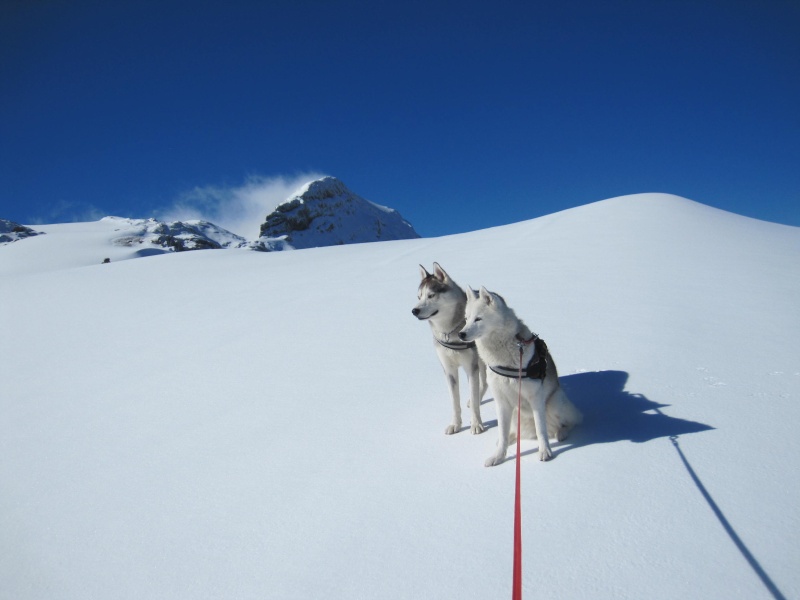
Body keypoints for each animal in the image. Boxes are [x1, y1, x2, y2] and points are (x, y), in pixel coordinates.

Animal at [412, 264, 488, 434]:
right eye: (419, 297)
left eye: (431, 295)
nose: (414, 311)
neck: (449, 332)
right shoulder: (449, 370)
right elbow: (454, 402)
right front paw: (455, 424)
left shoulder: (470, 367)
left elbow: (474, 399)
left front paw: (476, 424)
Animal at [456, 288, 580, 466]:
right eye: (466, 319)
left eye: (478, 318)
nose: (461, 334)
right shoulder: (501, 402)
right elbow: (502, 433)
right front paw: (498, 456)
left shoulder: (536, 398)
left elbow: (541, 430)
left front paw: (545, 451)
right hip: (516, 414)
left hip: (555, 403)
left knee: (570, 422)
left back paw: (561, 433)